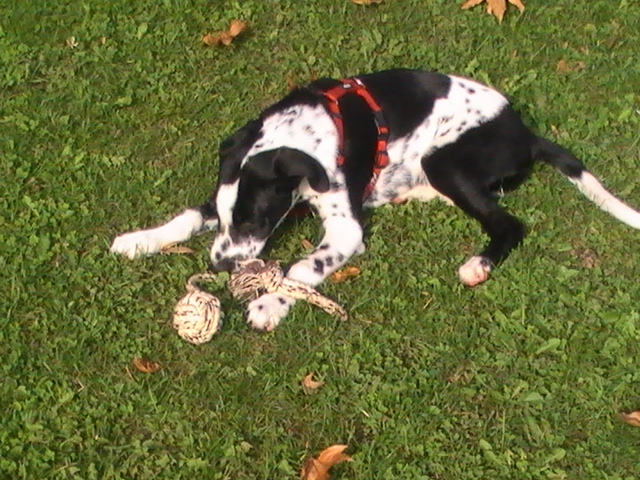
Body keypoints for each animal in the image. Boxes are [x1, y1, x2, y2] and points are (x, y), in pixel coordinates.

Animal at [110, 68, 640, 330]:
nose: (219, 266)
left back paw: (479, 264)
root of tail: (525, 133)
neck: (305, 136)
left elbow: (303, 268)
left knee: (508, 224)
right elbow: (186, 216)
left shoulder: (345, 228)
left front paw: (272, 303)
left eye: (254, 220)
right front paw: (139, 240)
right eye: (226, 220)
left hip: (448, 162)